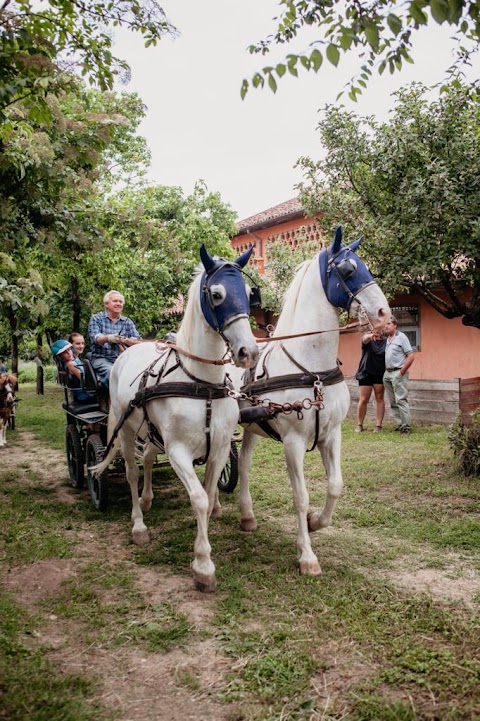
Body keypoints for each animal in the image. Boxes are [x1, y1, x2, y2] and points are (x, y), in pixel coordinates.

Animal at [92, 243, 260, 592]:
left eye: (249, 293)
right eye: (217, 294)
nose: (248, 352)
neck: (201, 383)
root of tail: (126, 351)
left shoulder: (219, 448)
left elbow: (208, 495)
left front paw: (204, 549)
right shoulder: (178, 452)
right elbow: (198, 499)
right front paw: (203, 565)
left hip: (151, 432)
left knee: (147, 460)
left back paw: (146, 499)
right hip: (126, 431)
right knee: (131, 471)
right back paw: (138, 523)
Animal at [232, 228, 390, 576]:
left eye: (367, 266)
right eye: (348, 269)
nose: (385, 315)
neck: (311, 367)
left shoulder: (331, 434)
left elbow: (335, 485)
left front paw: (316, 521)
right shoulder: (292, 441)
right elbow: (300, 495)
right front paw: (306, 554)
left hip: (251, 427)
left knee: (244, 464)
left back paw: (246, 516)